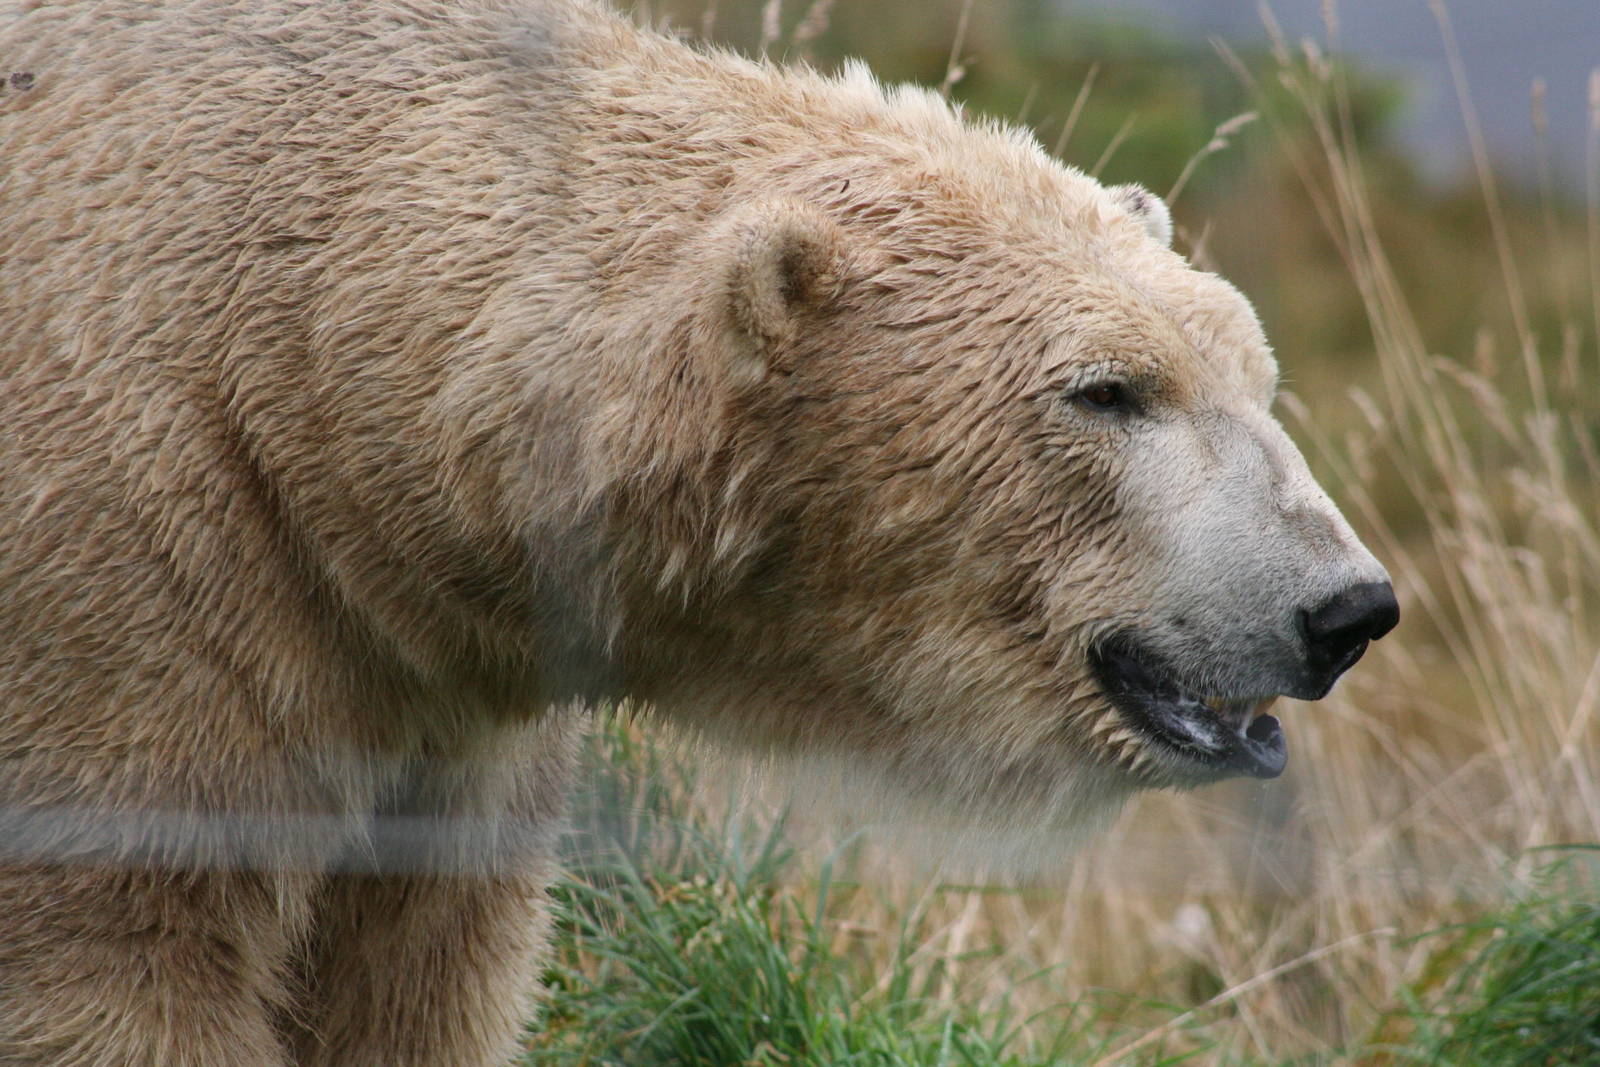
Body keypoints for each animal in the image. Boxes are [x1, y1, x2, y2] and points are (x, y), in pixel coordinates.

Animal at [0, 0, 1398, 1063]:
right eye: (1107, 391)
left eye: (1254, 375)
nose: (1346, 606)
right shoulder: (154, 589)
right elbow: (126, 948)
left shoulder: (432, 705)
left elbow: (414, 963)